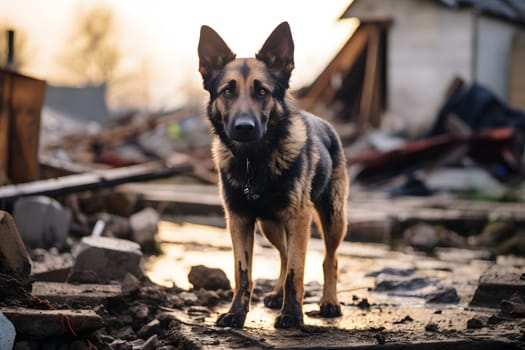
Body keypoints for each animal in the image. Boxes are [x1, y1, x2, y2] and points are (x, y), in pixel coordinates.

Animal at [198, 21, 348, 328]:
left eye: (262, 92)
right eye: (227, 92)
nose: (244, 127)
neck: (253, 162)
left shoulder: (298, 218)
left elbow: (296, 271)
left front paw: (291, 315)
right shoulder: (239, 220)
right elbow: (243, 273)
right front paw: (236, 313)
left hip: (332, 218)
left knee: (329, 259)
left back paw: (329, 302)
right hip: (270, 226)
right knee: (283, 255)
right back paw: (277, 294)